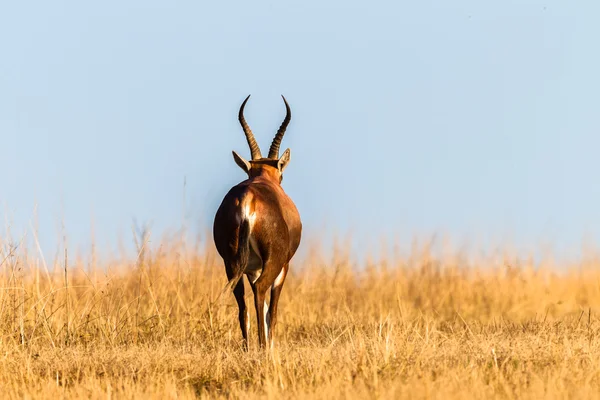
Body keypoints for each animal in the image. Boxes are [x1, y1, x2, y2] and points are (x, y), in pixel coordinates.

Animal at [213, 94, 302, 350]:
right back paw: (263, 347)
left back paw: (247, 348)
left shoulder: (251, 269)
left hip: (231, 264)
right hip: (272, 263)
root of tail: (248, 198)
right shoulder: (283, 266)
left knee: (243, 304)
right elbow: (271, 309)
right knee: (262, 293)